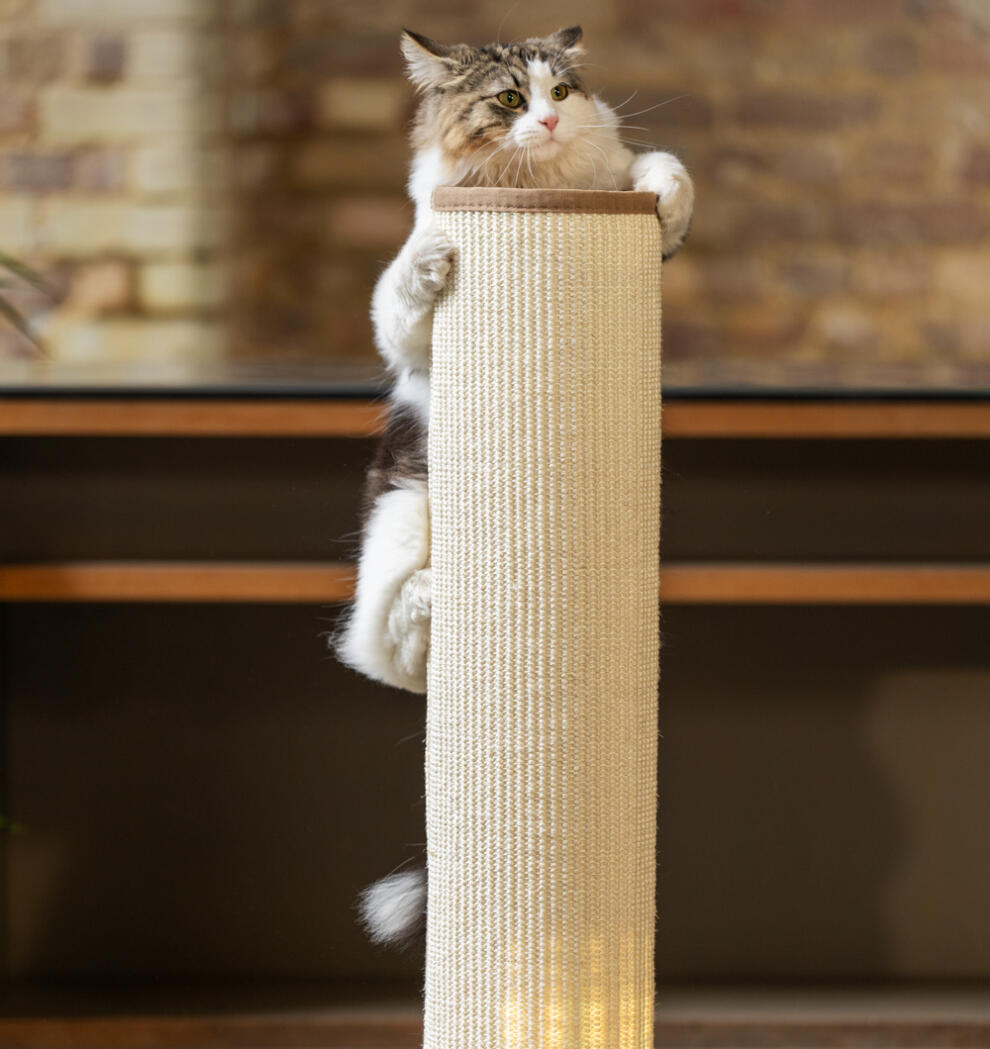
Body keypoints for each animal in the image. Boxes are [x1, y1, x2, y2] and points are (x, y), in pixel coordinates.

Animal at [335, 24, 692, 948]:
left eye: (561, 92)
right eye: (506, 100)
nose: (548, 118)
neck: (534, 195)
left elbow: (661, 167)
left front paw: (666, 194)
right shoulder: (407, 335)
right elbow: (402, 290)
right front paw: (429, 260)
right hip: (404, 508)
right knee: (379, 642)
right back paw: (433, 596)